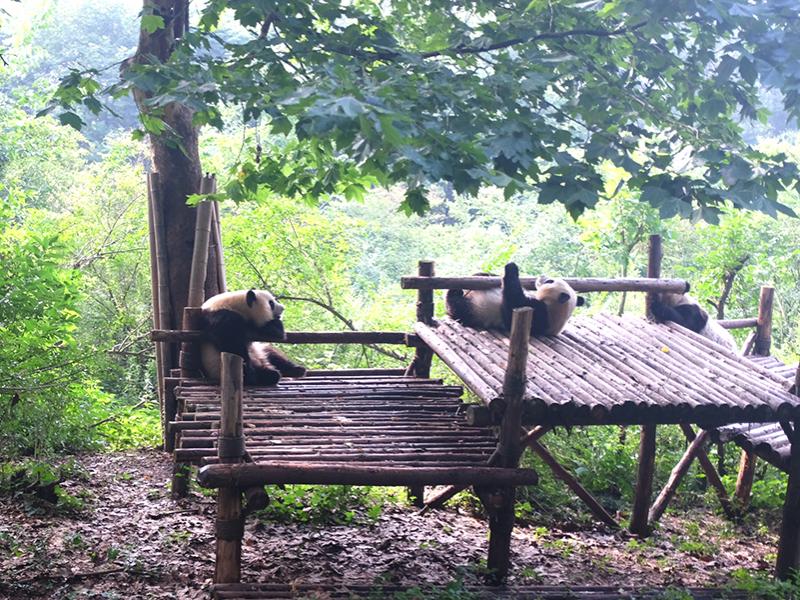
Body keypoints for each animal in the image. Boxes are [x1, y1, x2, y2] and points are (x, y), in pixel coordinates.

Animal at [445, 262, 586, 336]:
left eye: (550, 281)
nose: (542, 276)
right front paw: (486, 274)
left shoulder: (541, 316)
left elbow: (512, 307)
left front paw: (512, 267)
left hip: (475, 310)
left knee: (457, 306)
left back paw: (454, 292)